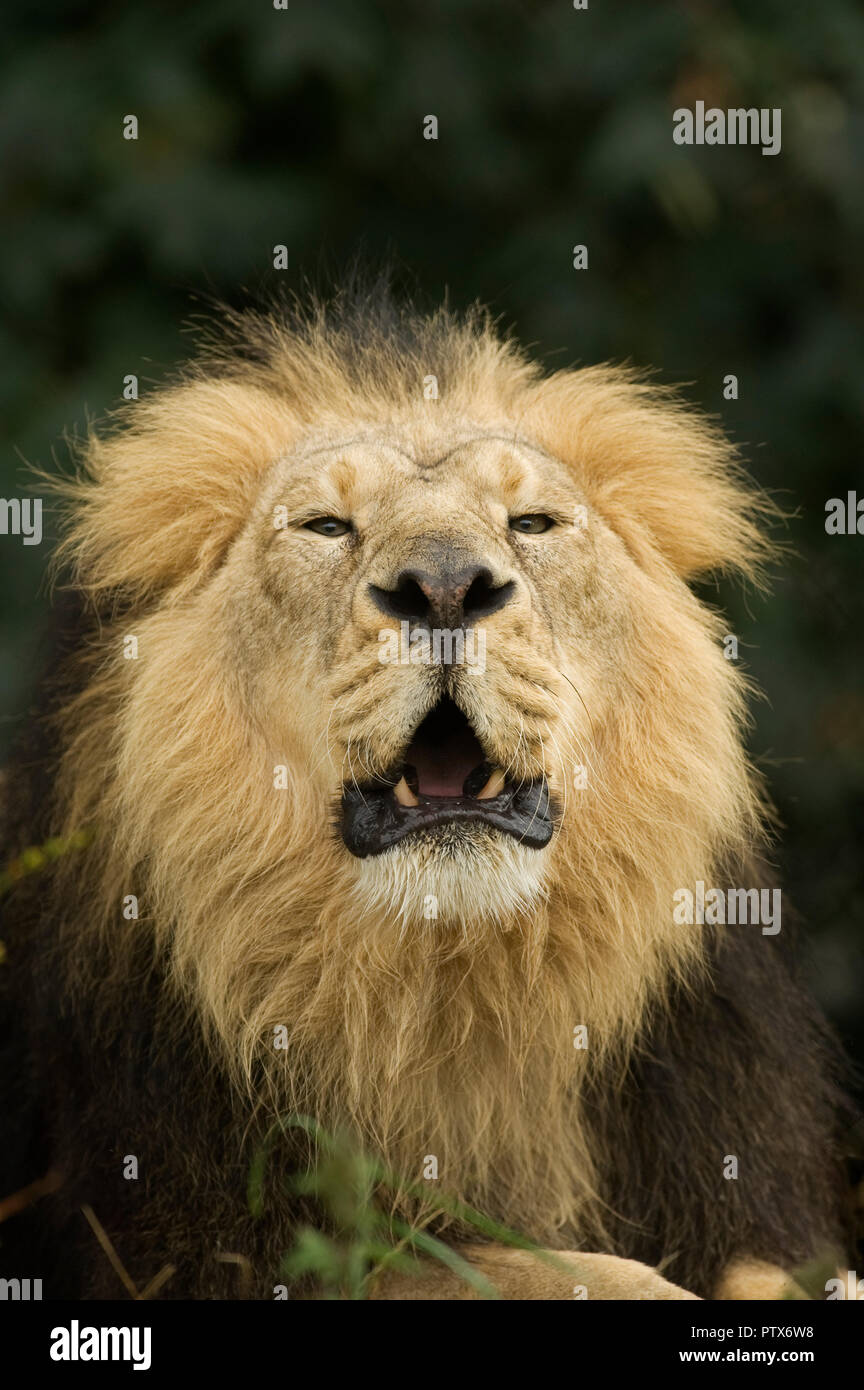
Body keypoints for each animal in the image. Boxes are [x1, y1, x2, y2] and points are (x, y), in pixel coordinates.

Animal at [0, 284, 851, 1301]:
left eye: (533, 523)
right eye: (326, 527)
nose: (444, 586)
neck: (448, 982)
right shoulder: (190, 1245)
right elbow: (529, 1269)